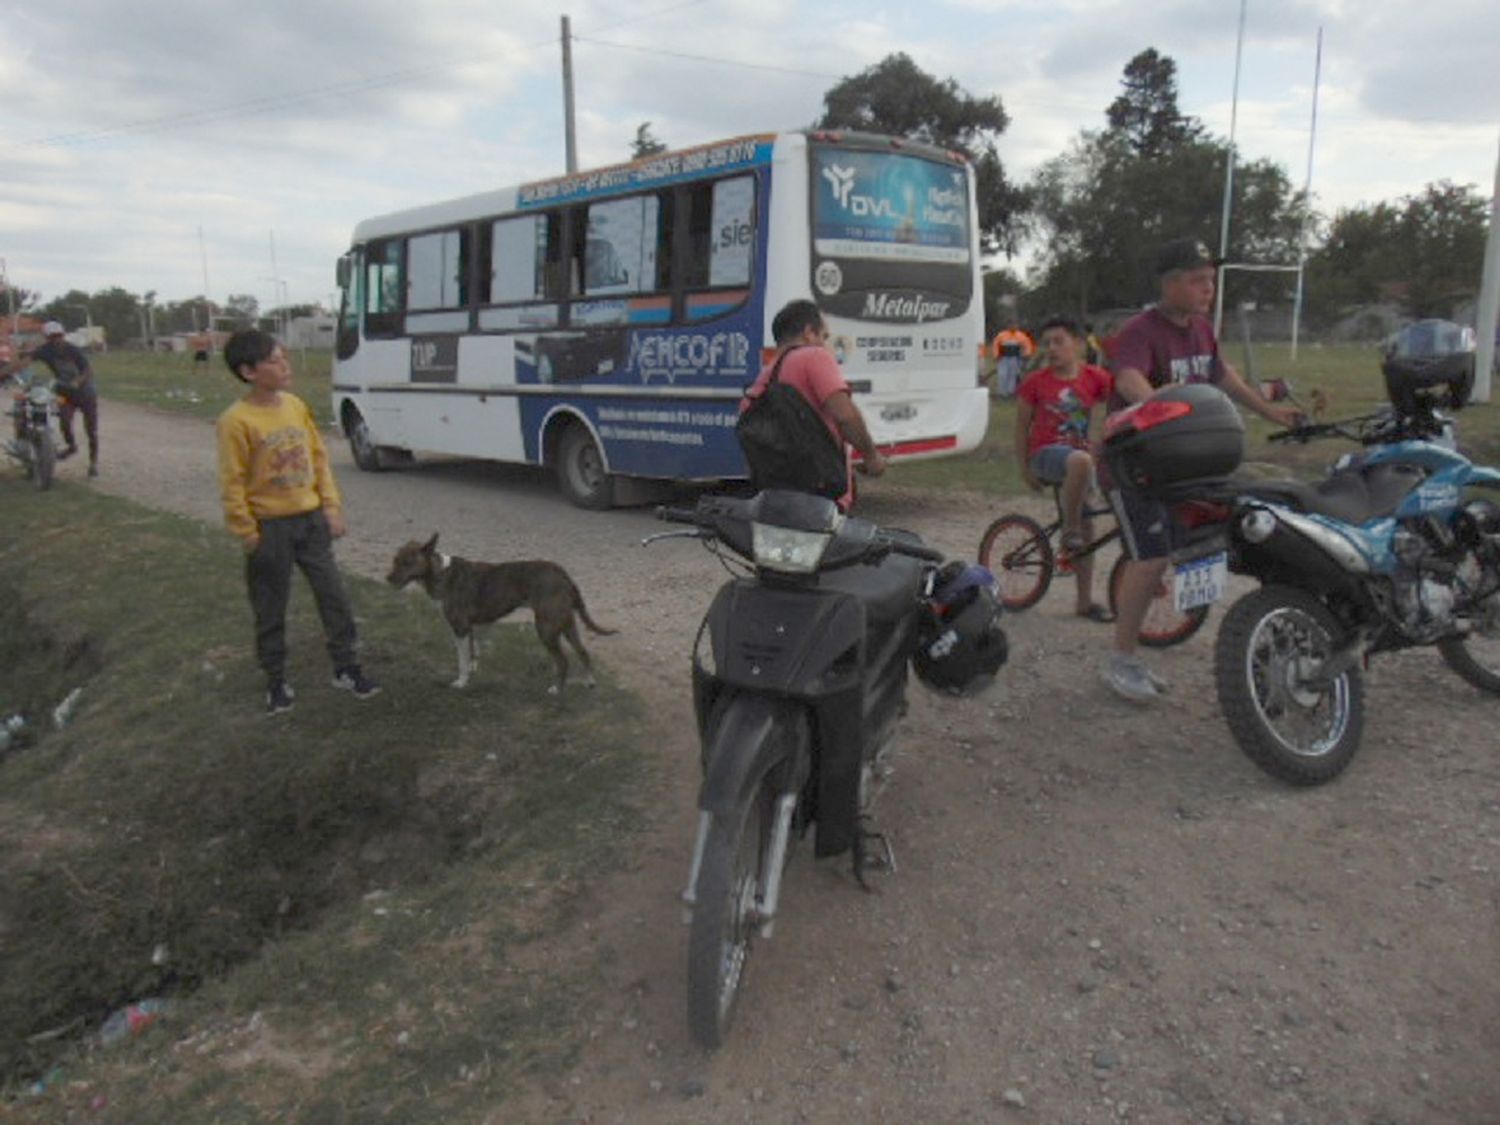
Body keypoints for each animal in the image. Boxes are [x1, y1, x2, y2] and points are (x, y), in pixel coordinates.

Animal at [393, 534, 621, 693]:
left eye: (407, 562)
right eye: (395, 561)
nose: (388, 578)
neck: (440, 572)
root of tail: (564, 575)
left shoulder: (460, 628)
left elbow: (462, 661)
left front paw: (461, 682)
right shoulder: (469, 628)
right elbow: (472, 655)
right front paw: (472, 674)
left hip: (546, 628)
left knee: (563, 661)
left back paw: (557, 690)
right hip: (566, 625)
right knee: (583, 652)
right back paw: (590, 683)